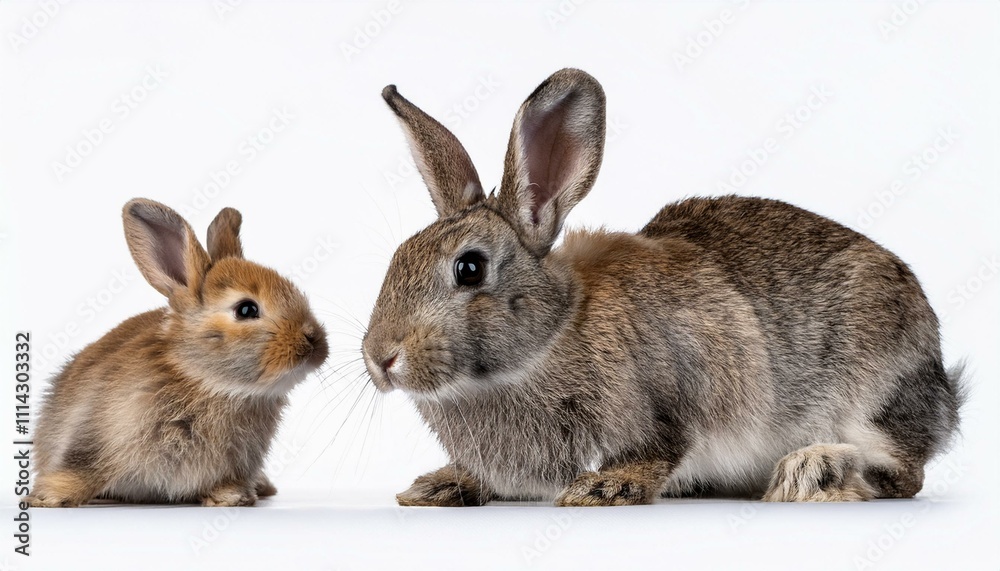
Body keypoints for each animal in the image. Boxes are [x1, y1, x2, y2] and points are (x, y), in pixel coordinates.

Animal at [29, 199, 328, 507]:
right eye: (246, 309)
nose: (314, 341)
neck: (206, 381)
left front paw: (231, 497)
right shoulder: (97, 433)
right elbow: (85, 466)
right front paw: (48, 497)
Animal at [361, 68, 964, 507]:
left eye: (469, 268)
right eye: (395, 258)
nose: (380, 357)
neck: (550, 336)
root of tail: (942, 386)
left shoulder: (686, 389)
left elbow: (662, 447)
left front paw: (603, 488)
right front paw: (441, 485)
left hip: (870, 392)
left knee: (902, 474)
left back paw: (815, 473)